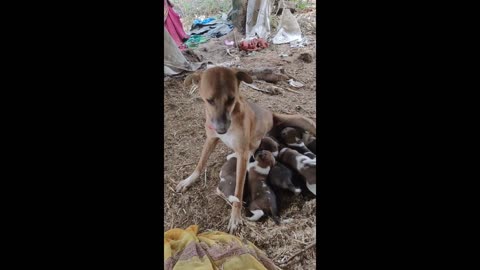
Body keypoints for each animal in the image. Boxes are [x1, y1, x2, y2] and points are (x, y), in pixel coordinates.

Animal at [174, 66, 316, 233]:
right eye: (209, 100)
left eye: (231, 99)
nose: (221, 129)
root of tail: (272, 116)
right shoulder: (210, 139)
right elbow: (200, 163)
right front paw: (188, 180)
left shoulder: (242, 154)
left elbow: (238, 190)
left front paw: (235, 217)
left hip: (303, 120)